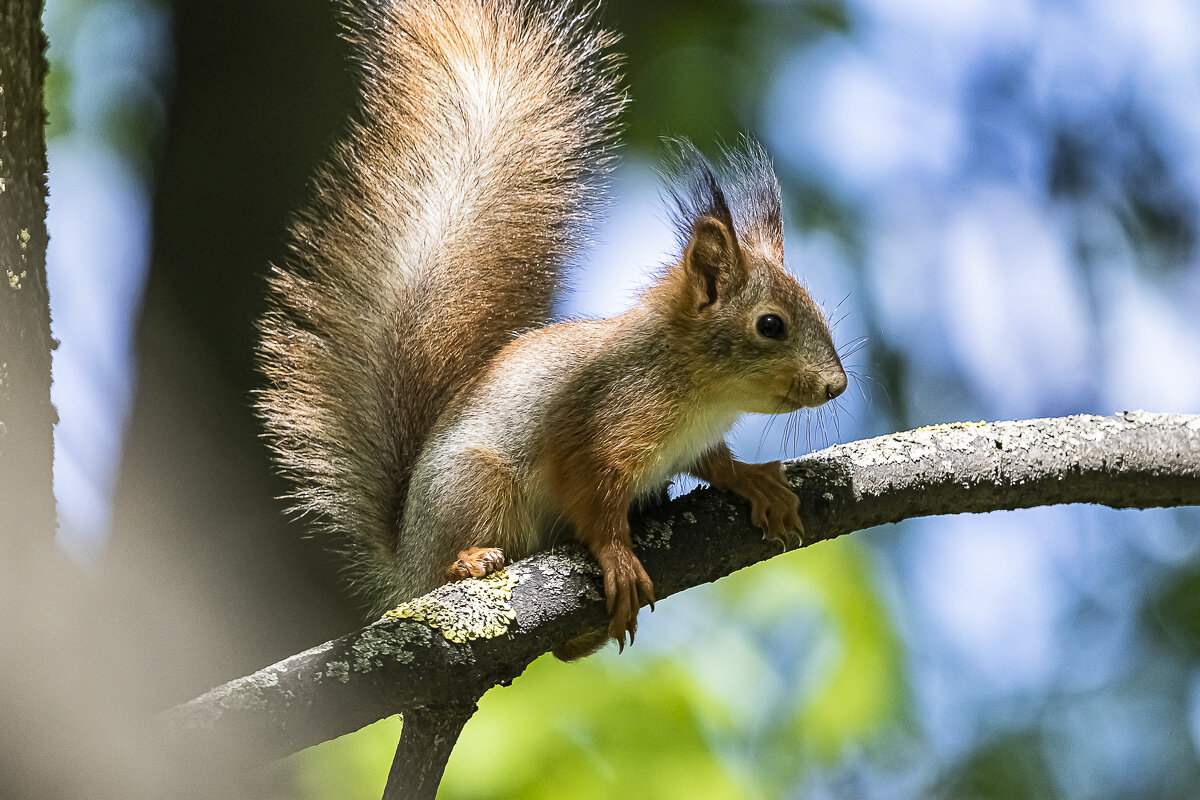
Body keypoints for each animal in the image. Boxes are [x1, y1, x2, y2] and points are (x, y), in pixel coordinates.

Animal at [258, 0, 849, 657]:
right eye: (770, 325)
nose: (837, 385)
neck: (702, 393)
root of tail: (405, 552)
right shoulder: (602, 427)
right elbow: (594, 500)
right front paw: (619, 558)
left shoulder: (694, 441)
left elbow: (715, 465)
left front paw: (753, 480)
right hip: (479, 488)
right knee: (448, 565)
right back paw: (467, 562)